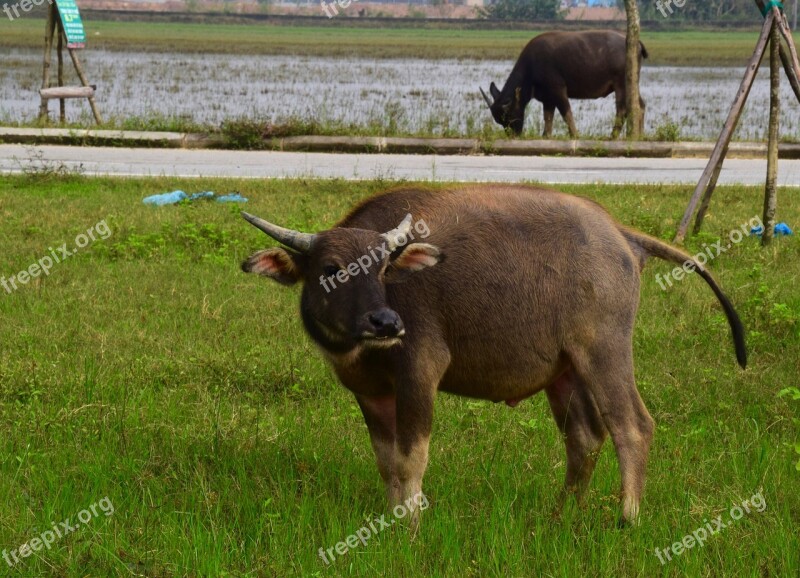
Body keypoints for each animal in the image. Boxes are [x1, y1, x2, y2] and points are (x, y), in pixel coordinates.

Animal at [241, 184, 748, 528]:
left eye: (382, 268)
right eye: (331, 270)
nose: (385, 322)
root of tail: (620, 233)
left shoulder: (420, 373)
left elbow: (411, 459)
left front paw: (411, 527)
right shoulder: (369, 393)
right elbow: (386, 462)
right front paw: (392, 518)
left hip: (605, 350)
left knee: (633, 427)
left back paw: (626, 519)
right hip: (566, 370)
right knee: (584, 437)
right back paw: (563, 514)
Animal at [482, 31, 648, 138]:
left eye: (508, 115)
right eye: (499, 121)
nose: (513, 135)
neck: (532, 67)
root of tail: (635, 43)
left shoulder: (558, 90)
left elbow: (566, 113)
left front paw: (574, 135)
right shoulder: (548, 98)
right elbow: (548, 118)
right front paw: (545, 136)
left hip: (621, 85)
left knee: (622, 109)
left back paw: (613, 136)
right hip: (632, 84)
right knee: (639, 105)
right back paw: (638, 135)